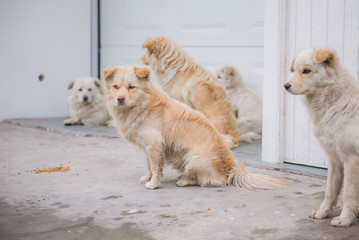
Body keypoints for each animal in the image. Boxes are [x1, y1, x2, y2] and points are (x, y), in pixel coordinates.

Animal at [102, 64, 288, 190]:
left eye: (131, 87)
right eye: (116, 87)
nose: (120, 99)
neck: (142, 105)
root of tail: (231, 167)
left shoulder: (154, 145)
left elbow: (155, 167)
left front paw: (153, 184)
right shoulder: (149, 147)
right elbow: (149, 166)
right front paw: (147, 178)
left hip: (193, 158)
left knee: (207, 180)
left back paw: (184, 180)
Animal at [286, 47, 359, 227]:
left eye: (306, 71)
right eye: (294, 70)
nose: (285, 85)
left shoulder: (351, 160)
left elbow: (348, 193)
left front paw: (345, 218)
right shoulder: (334, 160)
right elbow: (330, 191)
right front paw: (322, 212)